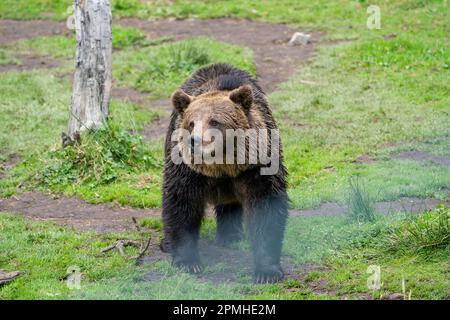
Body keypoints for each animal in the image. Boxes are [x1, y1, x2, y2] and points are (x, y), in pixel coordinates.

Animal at [162, 62, 288, 282]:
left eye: (214, 121)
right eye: (191, 123)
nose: (194, 141)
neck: (222, 166)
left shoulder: (257, 167)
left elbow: (266, 208)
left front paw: (267, 271)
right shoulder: (188, 171)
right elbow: (182, 203)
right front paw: (188, 261)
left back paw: (231, 235)